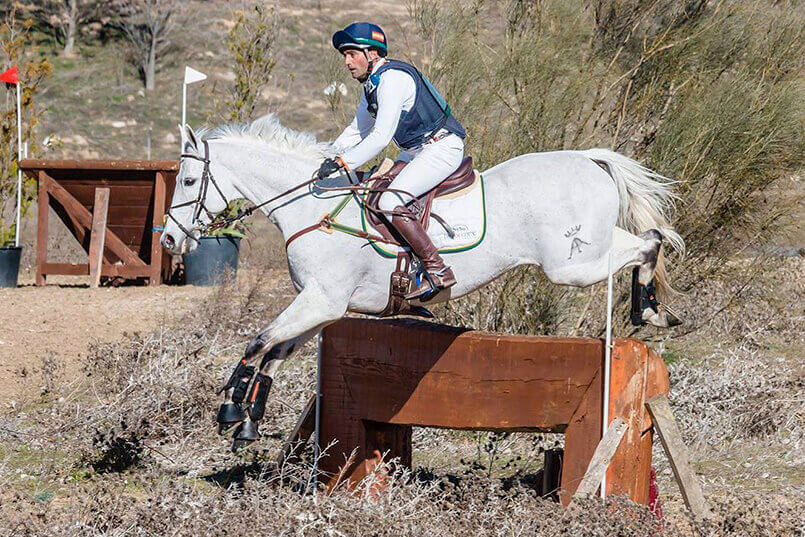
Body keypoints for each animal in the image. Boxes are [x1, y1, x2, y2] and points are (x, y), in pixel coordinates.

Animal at [160, 114, 680, 448]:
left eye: (187, 181)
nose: (167, 239)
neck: (311, 208)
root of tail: (586, 158)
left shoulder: (322, 302)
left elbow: (257, 342)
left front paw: (230, 410)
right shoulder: (322, 305)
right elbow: (274, 351)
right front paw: (248, 421)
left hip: (572, 264)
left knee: (649, 242)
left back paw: (648, 310)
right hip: (588, 248)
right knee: (645, 238)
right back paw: (653, 308)